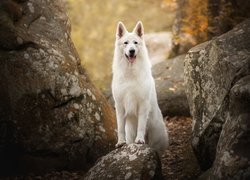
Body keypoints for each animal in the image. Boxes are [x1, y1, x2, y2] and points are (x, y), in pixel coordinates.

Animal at [112, 21, 169, 156]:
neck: (130, 72)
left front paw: (139, 139)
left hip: (156, 134)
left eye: (135, 43)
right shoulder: (119, 105)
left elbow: (141, 125)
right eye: (126, 43)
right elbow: (120, 127)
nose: (132, 51)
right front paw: (120, 142)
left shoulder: (143, 104)